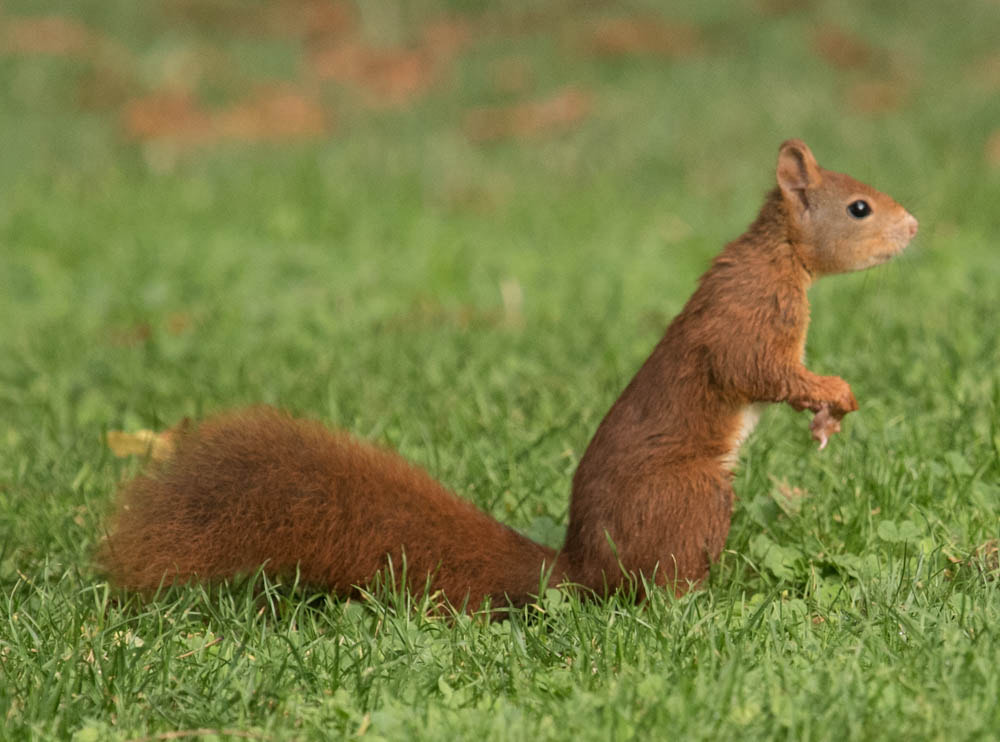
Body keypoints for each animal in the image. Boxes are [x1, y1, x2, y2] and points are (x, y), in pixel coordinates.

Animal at [98, 140, 918, 609]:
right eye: (859, 207)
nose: (914, 227)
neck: (781, 256)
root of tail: (582, 570)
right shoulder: (749, 316)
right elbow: (758, 369)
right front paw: (834, 395)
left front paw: (829, 416)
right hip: (693, 496)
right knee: (652, 589)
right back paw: (697, 602)